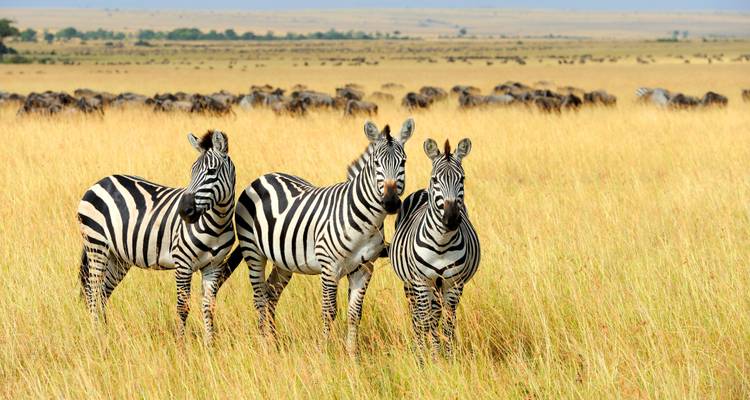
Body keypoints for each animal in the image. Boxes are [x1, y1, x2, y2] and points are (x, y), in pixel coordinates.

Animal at [76, 130, 236, 345]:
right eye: (192, 171)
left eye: (212, 171)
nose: (184, 211)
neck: (217, 224)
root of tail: (101, 181)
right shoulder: (183, 263)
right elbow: (182, 307)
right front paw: (181, 345)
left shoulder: (214, 266)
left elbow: (208, 307)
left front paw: (209, 346)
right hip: (97, 246)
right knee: (93, 292)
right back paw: (97, 336)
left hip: (118, 257)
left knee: (102, 293)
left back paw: (106, 334)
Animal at [221, 118, 414, 354]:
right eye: (376, 163)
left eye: (403, 162)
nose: (391, 202)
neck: (366, 221)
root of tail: (264, 176)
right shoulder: (329, 267)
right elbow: (329, 312)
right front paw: (325, 352)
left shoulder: (365, 268)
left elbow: (355, 314)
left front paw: (352, 355)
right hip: (253, 252)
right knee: (259, 297)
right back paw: (264, 344)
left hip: (283, 260)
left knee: (271, 293)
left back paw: (273, 342)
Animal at [389, 138, 480, 359]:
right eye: (435, 179)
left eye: (462, 179)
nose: (451, 219)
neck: (441, 242)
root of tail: (422, 190)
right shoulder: (421, 281)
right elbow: (425, 320)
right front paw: (425, 358)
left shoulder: (454, 283)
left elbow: (447, 323)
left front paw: (447, 357)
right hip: (411, 284)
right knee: (417, 316)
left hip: (439, 286)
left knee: (438, 315)